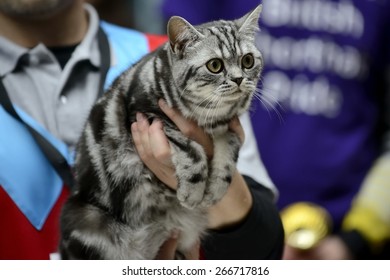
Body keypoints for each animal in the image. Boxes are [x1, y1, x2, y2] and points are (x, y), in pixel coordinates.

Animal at [59, 4, 264, 260]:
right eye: (215, 65)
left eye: (248, 60)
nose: (238, 79)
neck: (210, 116)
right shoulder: (145, 115)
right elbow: (192, 151)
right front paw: (192, 193)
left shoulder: (231, 128)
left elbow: (229, 155)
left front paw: (216, 190)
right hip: (85, 219)